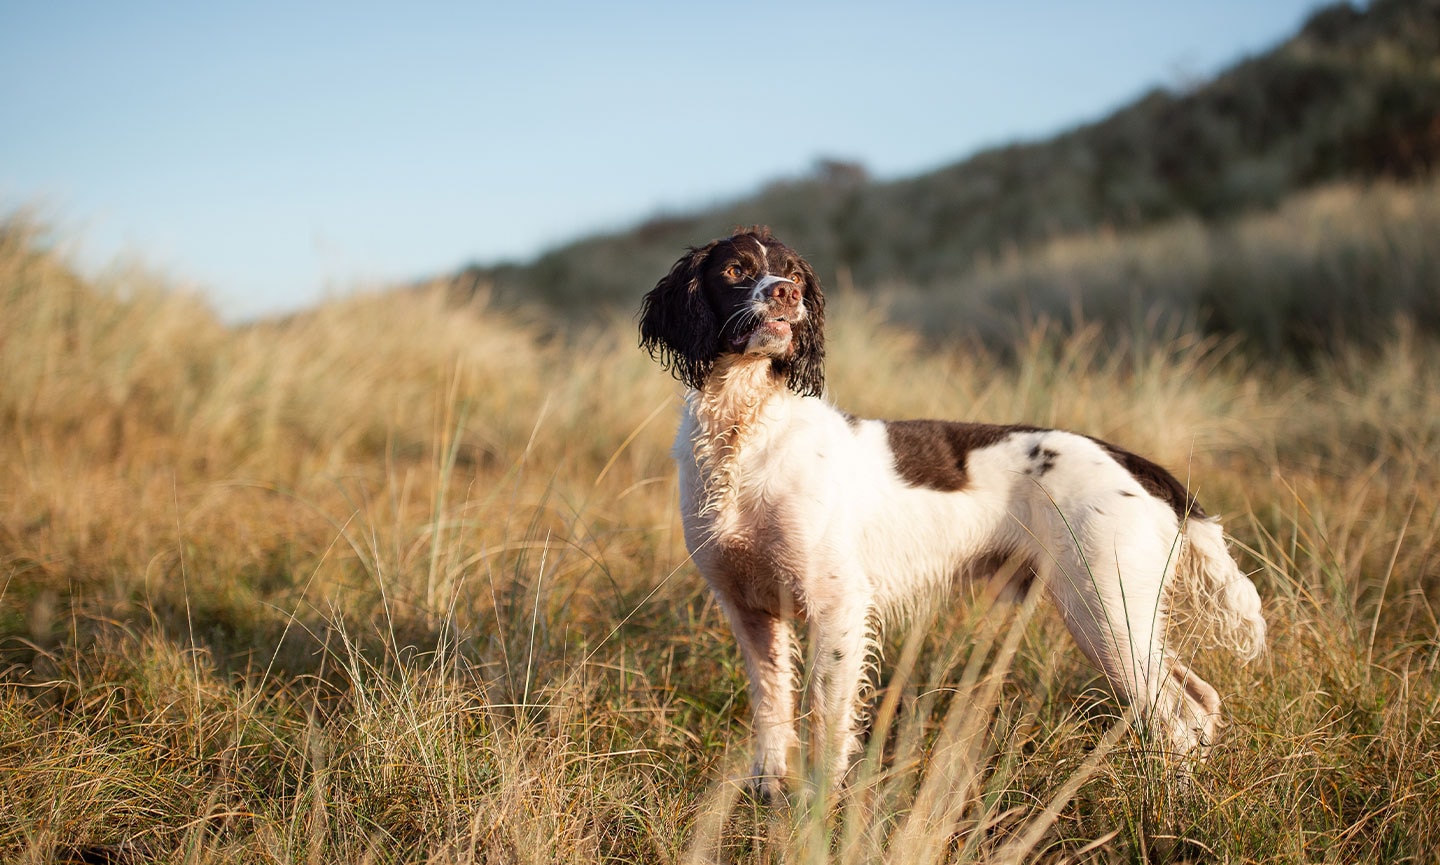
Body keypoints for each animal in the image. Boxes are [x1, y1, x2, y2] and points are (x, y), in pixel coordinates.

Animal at [639, 224, 1261, 794]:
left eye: (793, 273)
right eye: (735, 270)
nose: (786, 293)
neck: (746, 431)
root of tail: (1133, 461)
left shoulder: (837, 604)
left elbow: (826, 718)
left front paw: (814, 810)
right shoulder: (748, 610)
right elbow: (772, 705)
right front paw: (769, 789)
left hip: (1104, 608)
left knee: (1177, 712)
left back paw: (1169, 803)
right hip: (1121, 616)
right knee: (1199, 698)